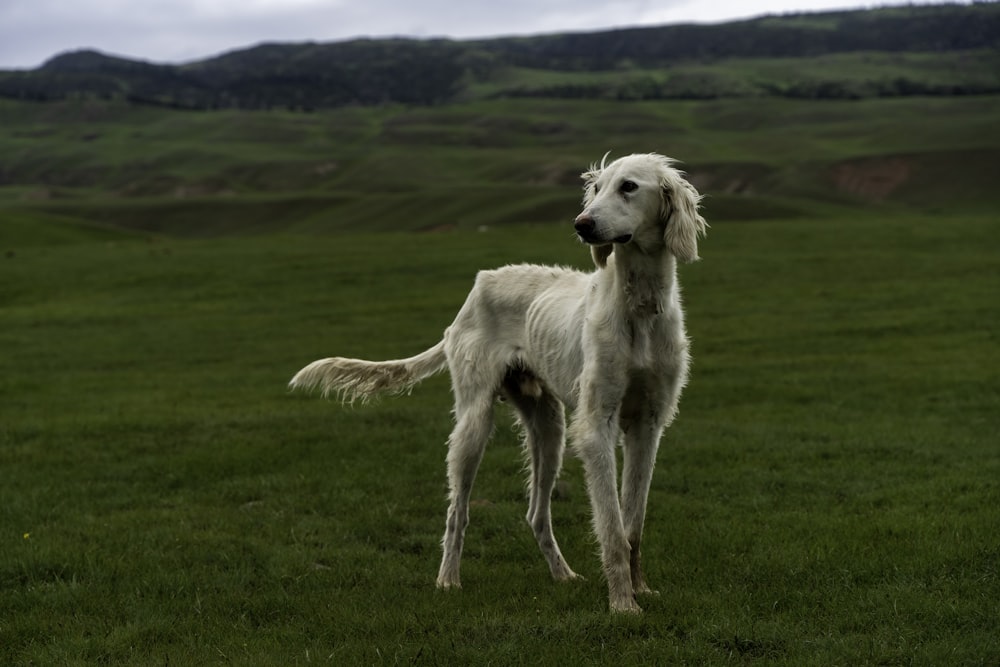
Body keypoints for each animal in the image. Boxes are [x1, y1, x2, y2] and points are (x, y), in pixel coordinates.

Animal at [292, 154, 708, 612]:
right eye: (597, 188)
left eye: (629, 187)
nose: (581, 224)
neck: (640, 307)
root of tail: (476, 289)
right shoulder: (597, 424)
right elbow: (612, 527)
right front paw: (622, 604)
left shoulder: (647, 425)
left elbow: (633, 525)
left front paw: (640, 589)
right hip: (475, 422)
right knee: (457, 511)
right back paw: (448, 580)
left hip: (549, 426)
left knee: (536, 514)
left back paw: (563, 574)